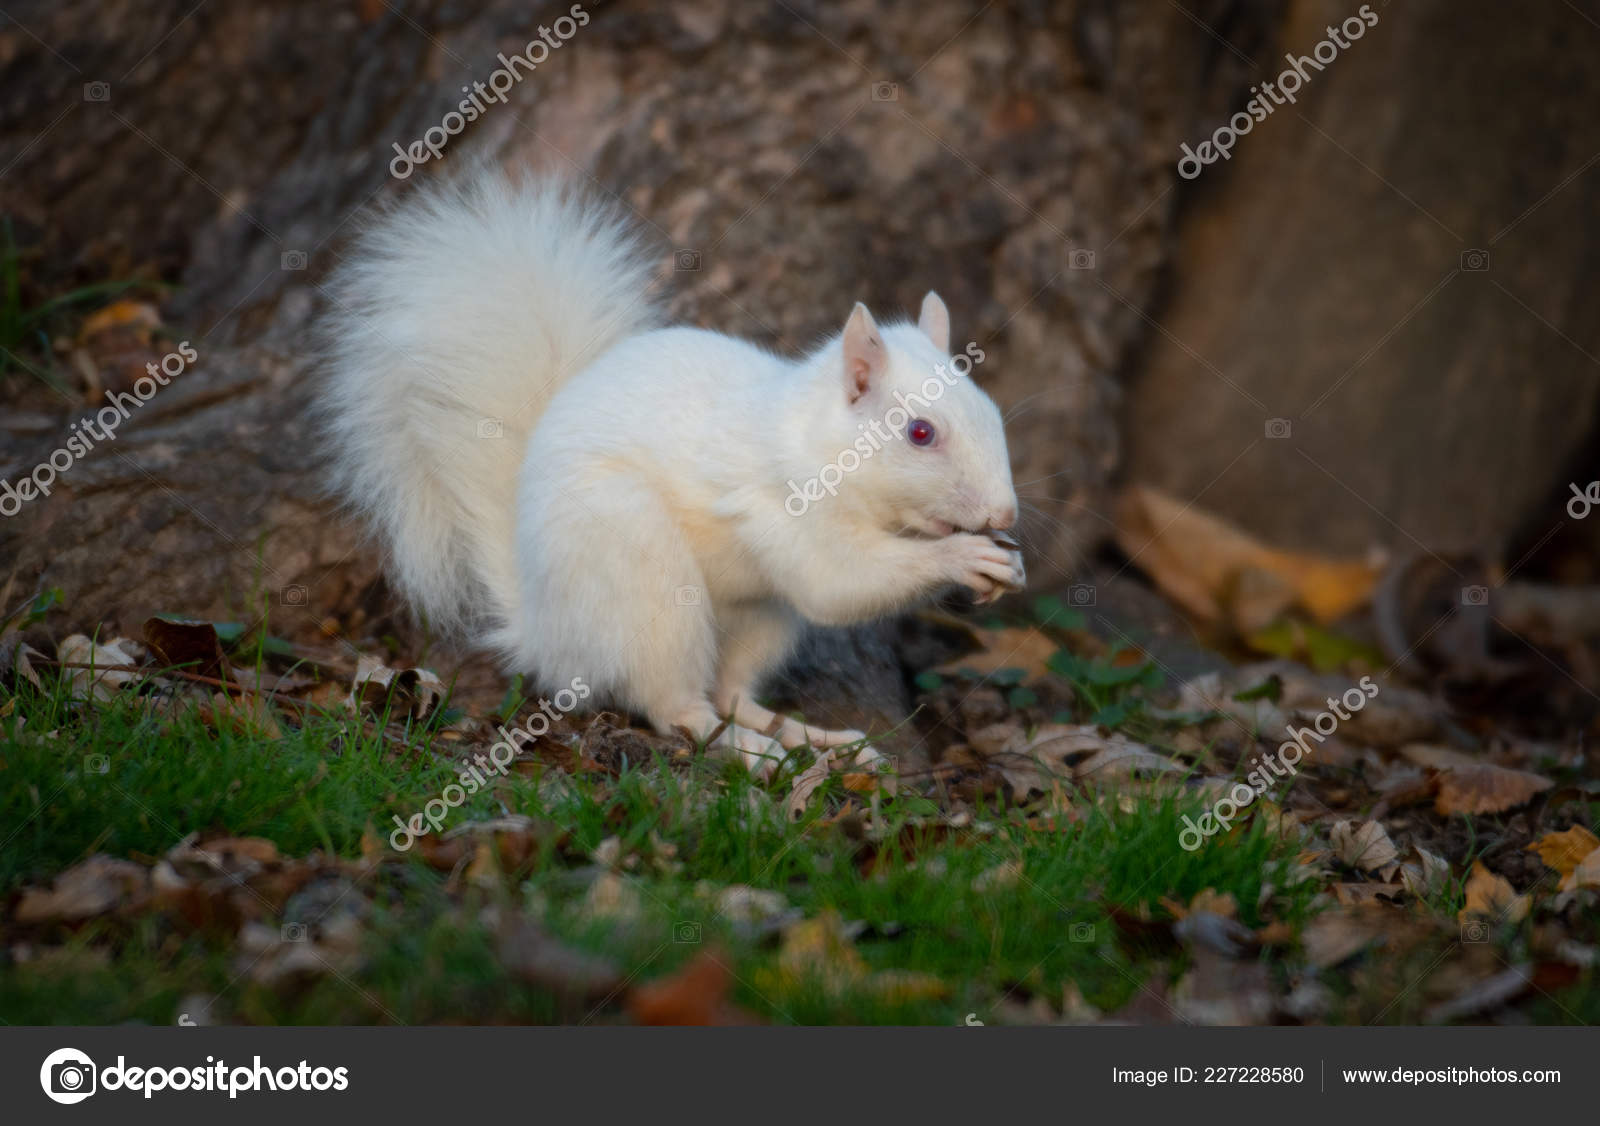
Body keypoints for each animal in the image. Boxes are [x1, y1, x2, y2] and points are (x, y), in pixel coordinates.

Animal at [318, 169, 1023, 776]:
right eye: (920, 433)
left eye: (991, 408)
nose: (1006, 513)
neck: (818, 447)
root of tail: (546, 633)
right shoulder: (782, 509)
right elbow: (837, 584)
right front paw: (966, 558)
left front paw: (1002, 563)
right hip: (645, 582)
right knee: (679, 709)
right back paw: (754, 752)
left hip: (760, 618)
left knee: (733, 693)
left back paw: (812, 738)